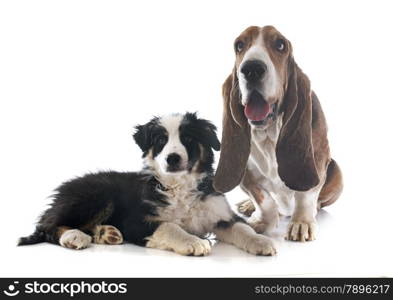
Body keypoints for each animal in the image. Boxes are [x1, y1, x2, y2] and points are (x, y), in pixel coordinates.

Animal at [17, 112, 276, 255]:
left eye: (188, 138)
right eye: (161, 141)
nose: (173, 158)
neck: (180, 186)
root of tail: (65, 187)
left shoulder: (221, 215)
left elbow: (243, 228)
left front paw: (262, 242)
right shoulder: (138, 221)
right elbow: (170, 226)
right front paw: (194, 242)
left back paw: (106, 233)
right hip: (94, 196)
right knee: (47, 225)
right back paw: (74, 236)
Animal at [213, 25, 342, 241]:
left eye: (280, 45)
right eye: (239, 45)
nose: (251, 69)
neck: (268, 135)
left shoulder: (318, 163)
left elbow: (305, 195)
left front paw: (301, 222)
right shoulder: (246, 175)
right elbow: (264, 199)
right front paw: (262, 222)